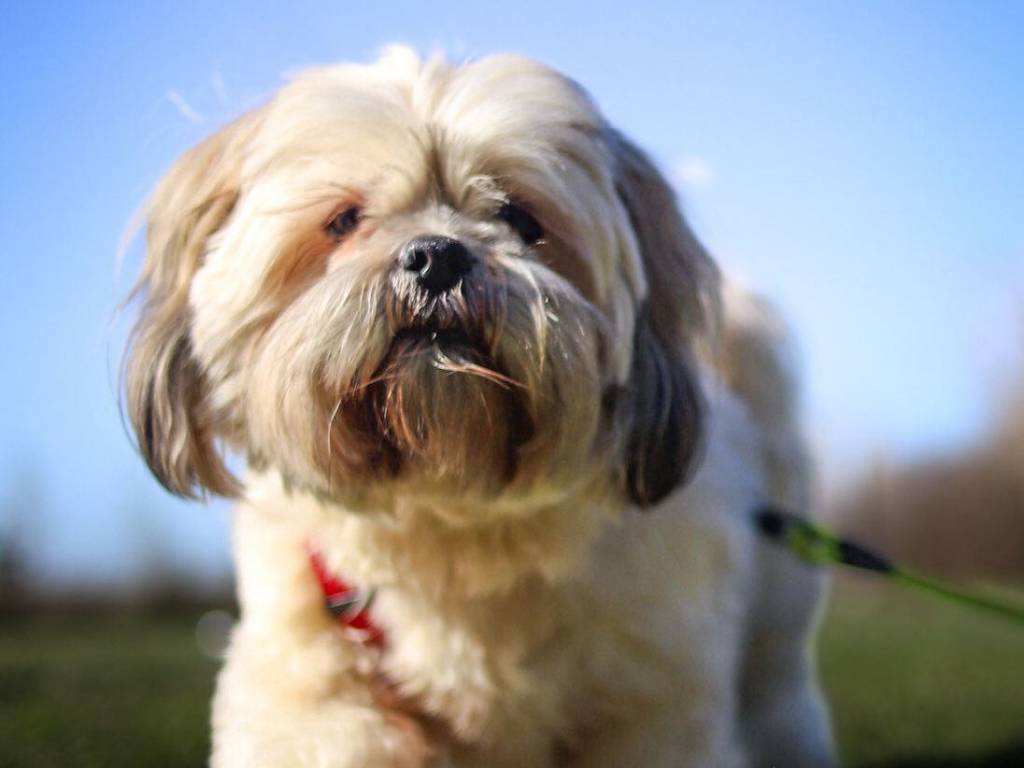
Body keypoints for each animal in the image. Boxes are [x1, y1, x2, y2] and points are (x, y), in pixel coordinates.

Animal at [123, 47, 835, 767]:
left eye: (521, 220)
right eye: (344, 221)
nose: (437, 255)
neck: (453, 518)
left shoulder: (652, 705)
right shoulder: (310, 688)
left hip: (774, 645)